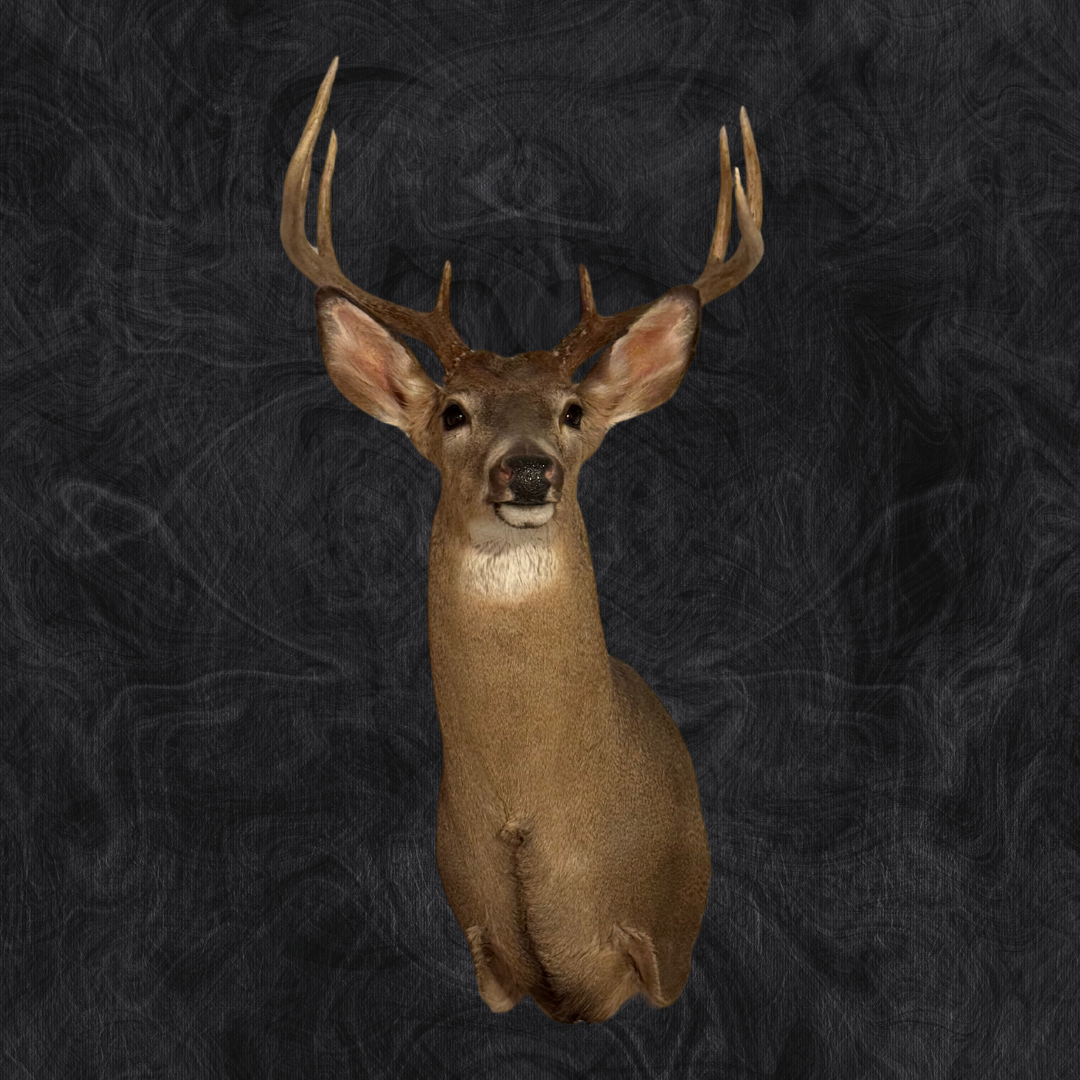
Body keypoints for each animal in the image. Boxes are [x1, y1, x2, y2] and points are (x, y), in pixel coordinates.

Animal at [280, 58, 763, 1024]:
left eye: (573, 411)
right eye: (453, 413)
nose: (530, 471)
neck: (531, 821)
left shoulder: (663, 948)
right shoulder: (481, 948)